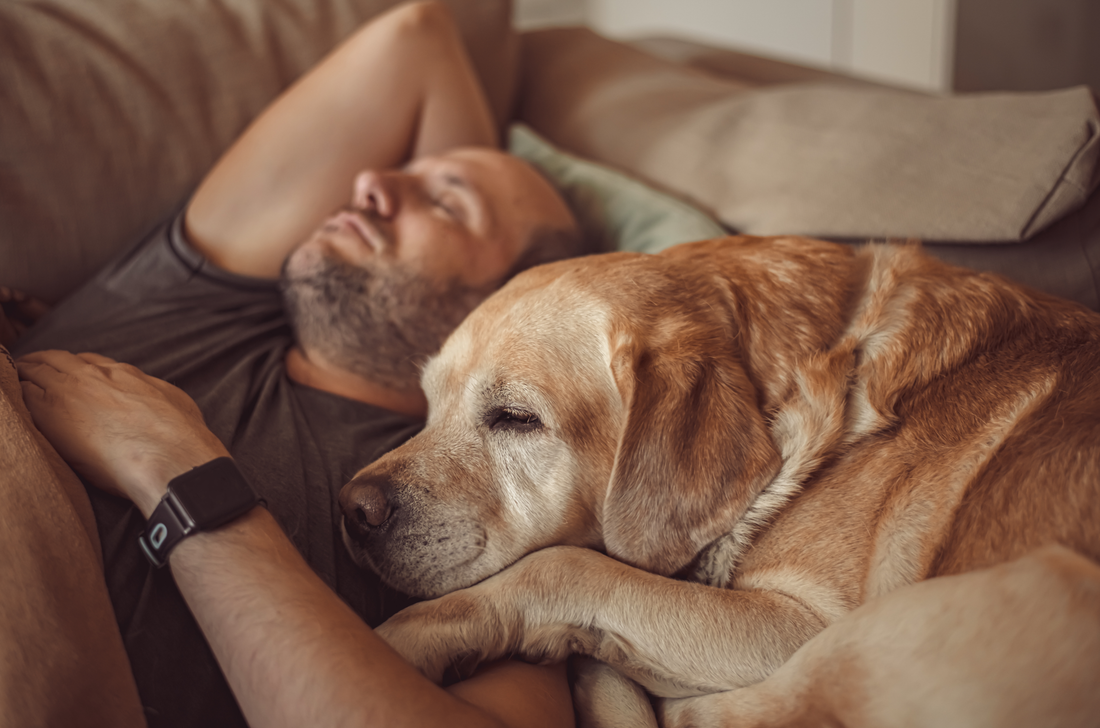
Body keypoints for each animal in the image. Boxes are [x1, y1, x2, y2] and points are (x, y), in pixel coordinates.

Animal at [338, 236, 1095, 725]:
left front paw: (411, 637)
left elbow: (568, 567)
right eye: (429, 404)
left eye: (516, 418)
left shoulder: (802, 625)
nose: (351, 509)